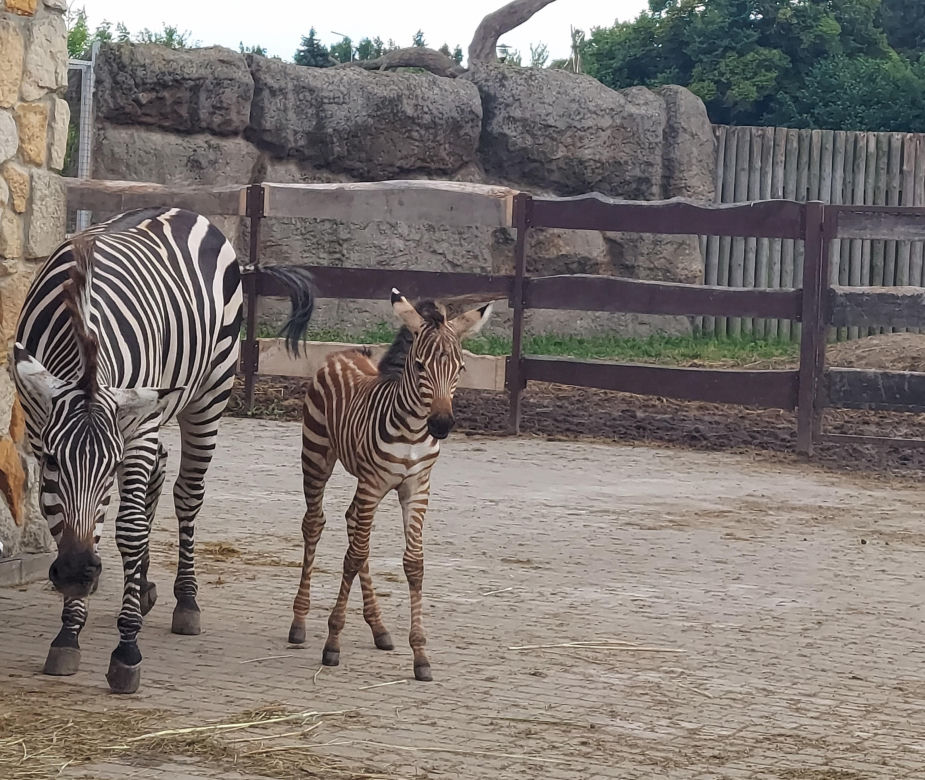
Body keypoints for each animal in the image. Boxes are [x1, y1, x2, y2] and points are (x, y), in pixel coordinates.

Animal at [11, 206, 314, 694]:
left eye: (111, 465)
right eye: (53, 461)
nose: (76, 573)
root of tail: (184, 211)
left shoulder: (133, 435)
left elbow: (129, 529)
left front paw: (126, 649)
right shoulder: (44, 435)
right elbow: (69, 523)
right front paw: (68, 635)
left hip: (209, 393)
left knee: (186, 493)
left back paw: (185, 602)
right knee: (158, 473)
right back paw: (143, 587)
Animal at [288, 288, 491, 681]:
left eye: (460, 369)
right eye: (420, 366)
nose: (441, 425)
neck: (412, 431)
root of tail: (344, 353)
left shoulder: (417, 488)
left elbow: (413, 564)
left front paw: (421, 656)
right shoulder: (372, 483)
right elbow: (353, 558)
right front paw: (332, 643)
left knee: (352, 524)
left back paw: (379, 628)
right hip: (317, 456)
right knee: (315, 524)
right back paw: (300, 622)